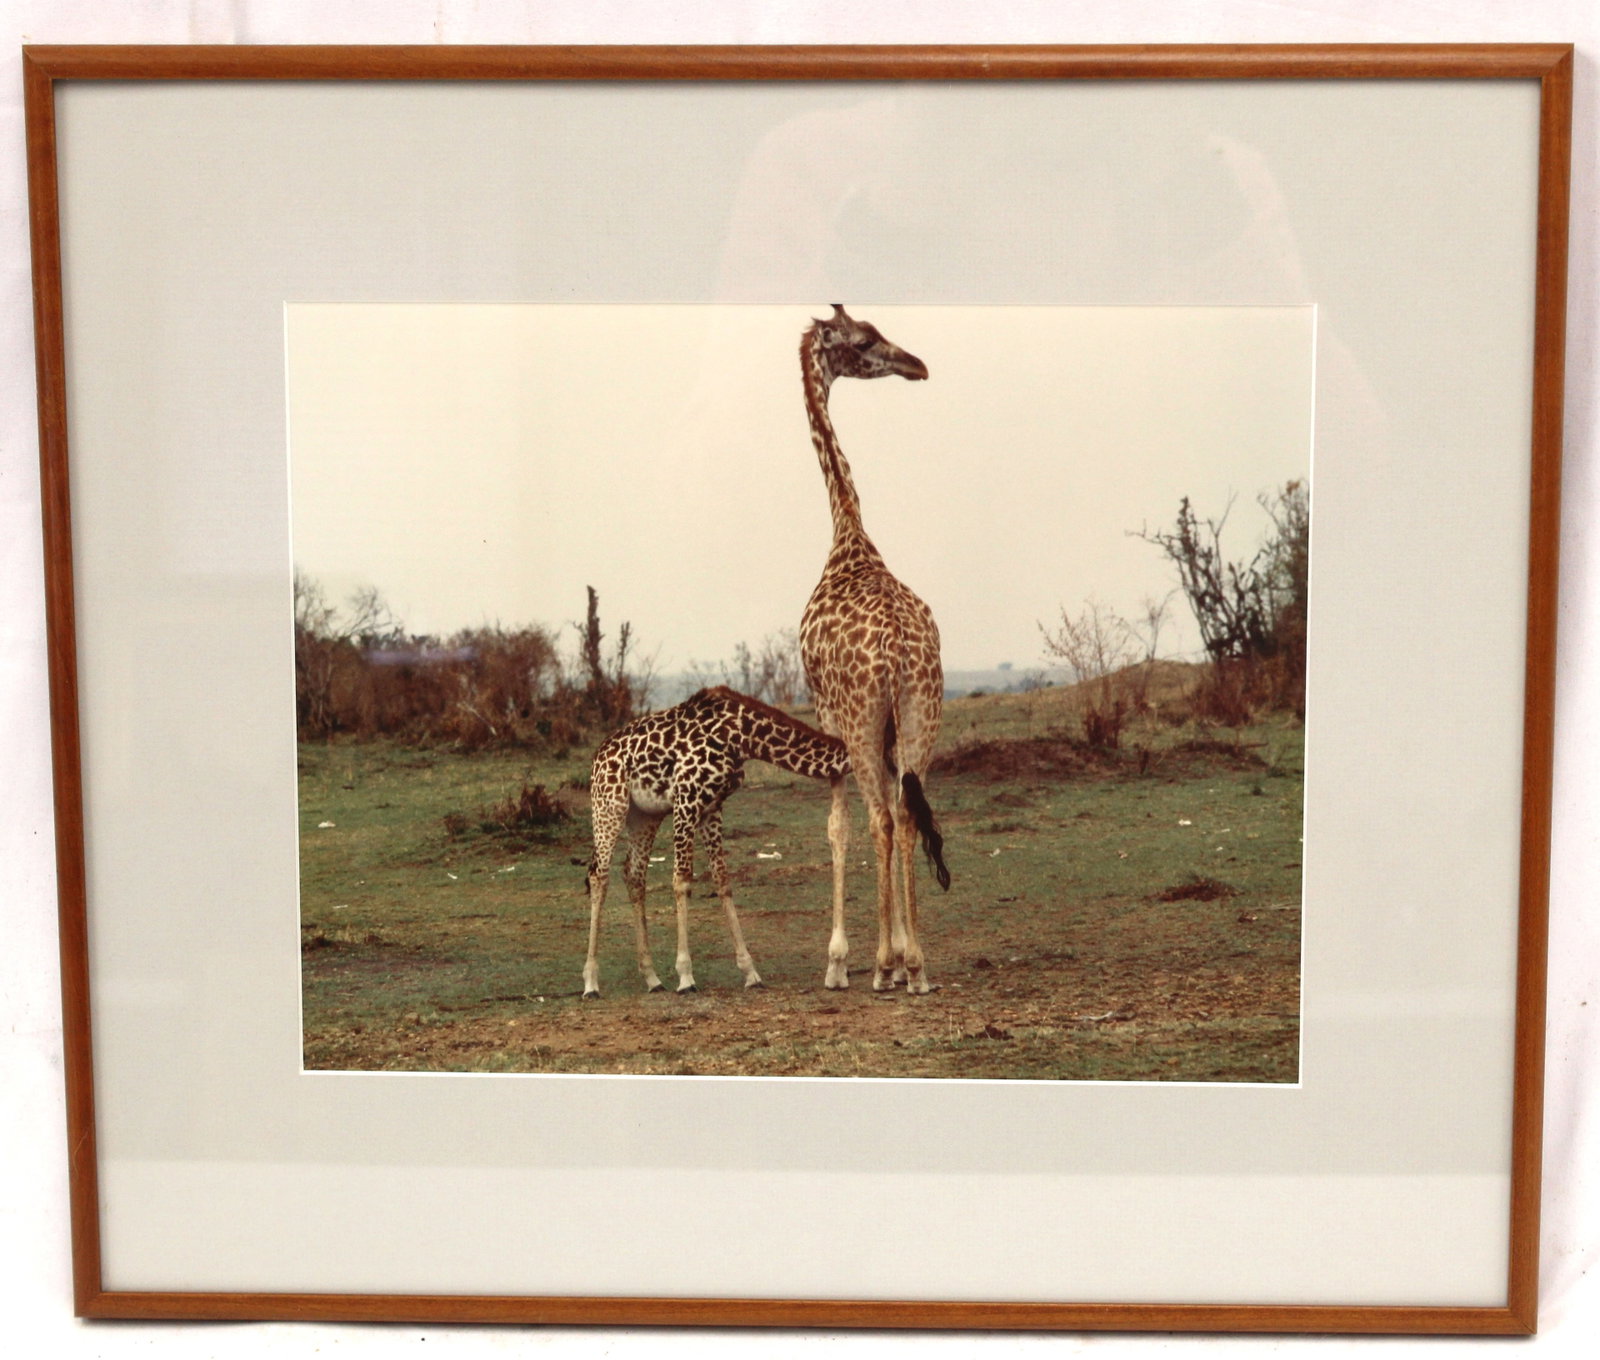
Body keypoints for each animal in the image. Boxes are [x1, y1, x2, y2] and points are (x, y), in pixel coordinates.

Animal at [582, 685, 849, 998]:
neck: (742, 736)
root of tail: (598, 757)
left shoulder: (712, 806)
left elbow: (722, 879)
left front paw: (750, 972)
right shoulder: (687, 798)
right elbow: (682, 879)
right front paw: (686, 976)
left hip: (644, 815)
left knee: (633, 875)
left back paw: (652, 978)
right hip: (609, 804)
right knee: (598, 875)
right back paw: (590, 983)